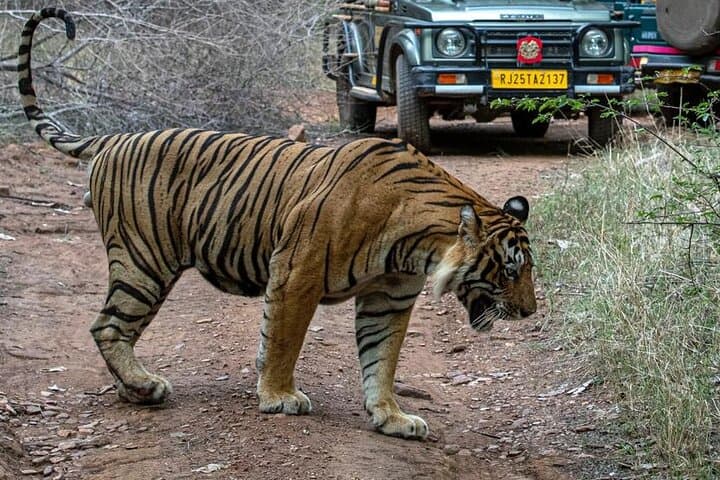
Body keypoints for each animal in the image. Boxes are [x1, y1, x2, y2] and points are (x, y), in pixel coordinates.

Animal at [18, 8, 536, 440]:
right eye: (511, 270)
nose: (530, 312)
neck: (417, 248)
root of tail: (114, 137)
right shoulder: (296, 273)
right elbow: (285, 339)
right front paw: (279, 396)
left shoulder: (389, 299)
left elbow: (381, 359)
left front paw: (391, 416)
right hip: (143, 260)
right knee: (107, 326)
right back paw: (145, 386)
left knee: (116, 328)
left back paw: (135, 390)